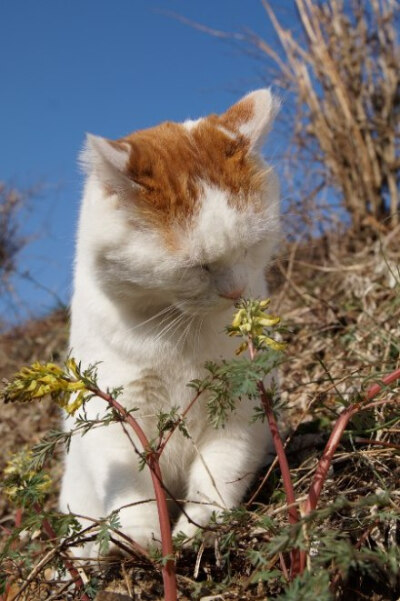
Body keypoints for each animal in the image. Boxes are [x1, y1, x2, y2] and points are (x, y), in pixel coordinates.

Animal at [60, 90, 282, 556]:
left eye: (250, 248)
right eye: (198, 267)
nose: (235, 292)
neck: (178, 330)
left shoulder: (240, 408)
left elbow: (217, 476)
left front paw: (196, 532)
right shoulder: (115, 413)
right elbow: (133, 485)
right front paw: (143, 538)